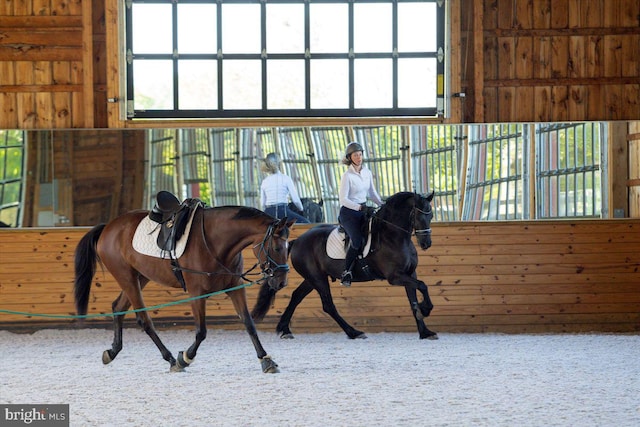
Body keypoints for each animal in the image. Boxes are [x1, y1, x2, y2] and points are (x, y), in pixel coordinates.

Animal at [74, 206, 296, 372]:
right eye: (277, 248)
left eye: (288, 247)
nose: (281, 282)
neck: (215, 241)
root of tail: (108, 227)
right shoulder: (196, 293)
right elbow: (201, 332)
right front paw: (185, 358)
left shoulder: (235, 288)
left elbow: (249, 324)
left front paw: (266, 360)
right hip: (126, 277)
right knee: (143, 320)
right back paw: (171, 359)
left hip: (140, 276)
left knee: (118, 307)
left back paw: (112, 352)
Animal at [252, 191, 438, 342]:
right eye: (419, 216)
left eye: (430, 216)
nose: (426, 244)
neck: (393, 237)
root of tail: (297, 241)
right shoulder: (395, 277)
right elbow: (423, 286)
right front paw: (426, 309)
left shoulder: (410, 274)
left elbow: (414, 299)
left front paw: (425, 331)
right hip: (318, 279)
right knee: (328, 305)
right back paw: (354, 332)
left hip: (312, 279)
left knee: (296, 296)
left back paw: (284, 330)